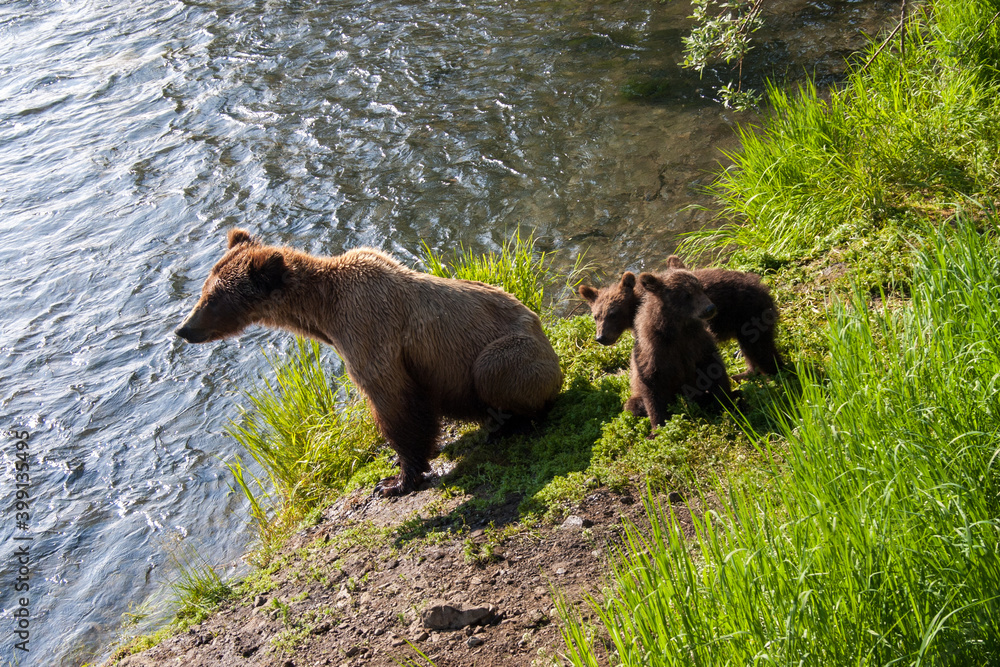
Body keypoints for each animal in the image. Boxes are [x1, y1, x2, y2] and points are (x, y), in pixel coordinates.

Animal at [176, 228, 564, 497]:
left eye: (212, 298)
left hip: (514, 352)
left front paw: (395, 480)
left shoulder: (371, 332)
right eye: (204, 290)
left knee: (494, 371)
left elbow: (395, 404)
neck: (323, 314)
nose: (183, 329)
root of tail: (543, 331)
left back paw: (506, 423)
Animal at [578, 257, 785, 378]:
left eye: (613, 313)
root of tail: (761, 285)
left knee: (759, 347)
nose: (601, 337)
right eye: (596, 316)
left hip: (747, 313)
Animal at [626, 271, 735, 428]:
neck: (678, 328)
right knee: (633, 405)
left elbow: (713, 367)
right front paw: (658, 426)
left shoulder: (698, 342)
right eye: (686, 295)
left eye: (701, 288)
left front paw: (727, 403)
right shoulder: (654, 352)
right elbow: (652, 387)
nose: (710, 308)